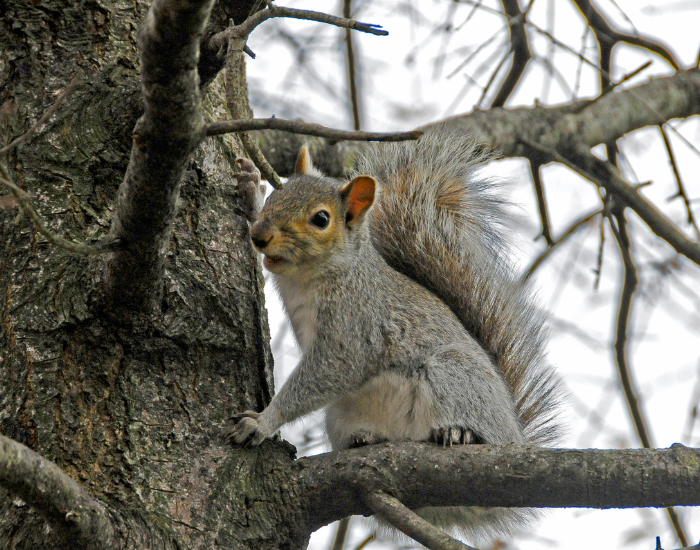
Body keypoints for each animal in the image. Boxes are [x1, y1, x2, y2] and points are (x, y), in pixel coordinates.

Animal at [228, 129, 561, 542]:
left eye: (321, 219)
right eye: (278, 195)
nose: (261, 235)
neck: (316, 275)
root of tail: (515, 433)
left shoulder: (355, 329)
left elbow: (330, 371)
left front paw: (262, 421)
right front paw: (250, 192)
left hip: (452, 375)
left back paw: (461, 434)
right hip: (342, 415)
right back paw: (368, 439)